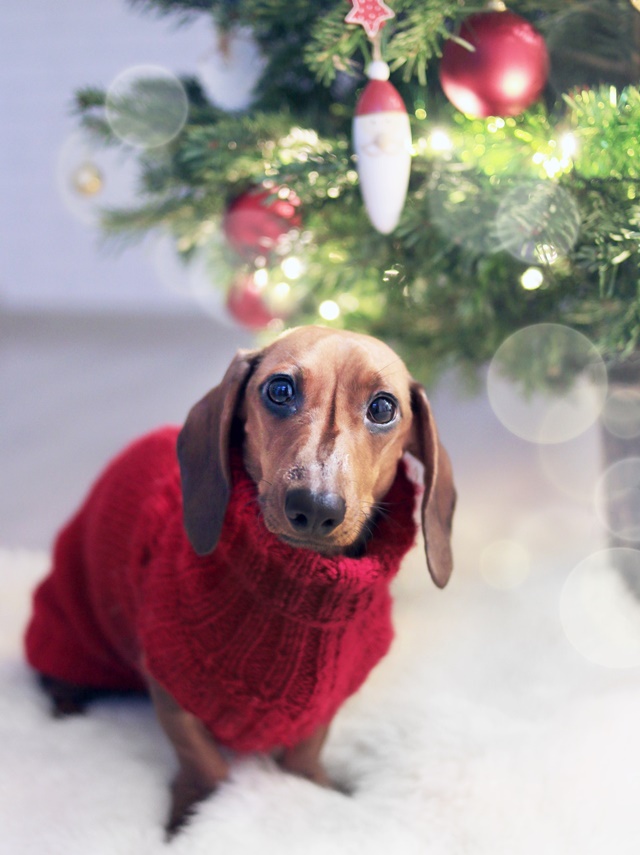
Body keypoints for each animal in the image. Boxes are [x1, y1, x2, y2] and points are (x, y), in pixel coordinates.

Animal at [25, 328, 456, 836]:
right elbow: (204, 763)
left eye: (384, 408)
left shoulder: (324, 703)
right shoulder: (170, 686)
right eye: (280, 389)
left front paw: (314, 789)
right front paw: (191, 821)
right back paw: (67, 707)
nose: (314, 507)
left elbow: (307, 749)